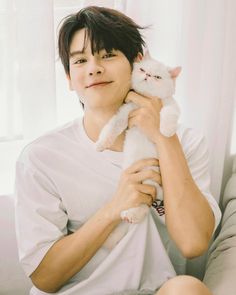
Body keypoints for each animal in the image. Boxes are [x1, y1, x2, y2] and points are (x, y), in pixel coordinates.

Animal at [96, 52, 181, 250]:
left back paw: (133, 215)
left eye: (157, 77)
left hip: (149, 183)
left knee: (142, 207)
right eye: (142, 69)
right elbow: (112, 127)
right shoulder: (125, 112)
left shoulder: (171, 106)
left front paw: (166, 130)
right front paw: (102, 143)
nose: (147, 75)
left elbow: (168, 113)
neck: (144, 101)